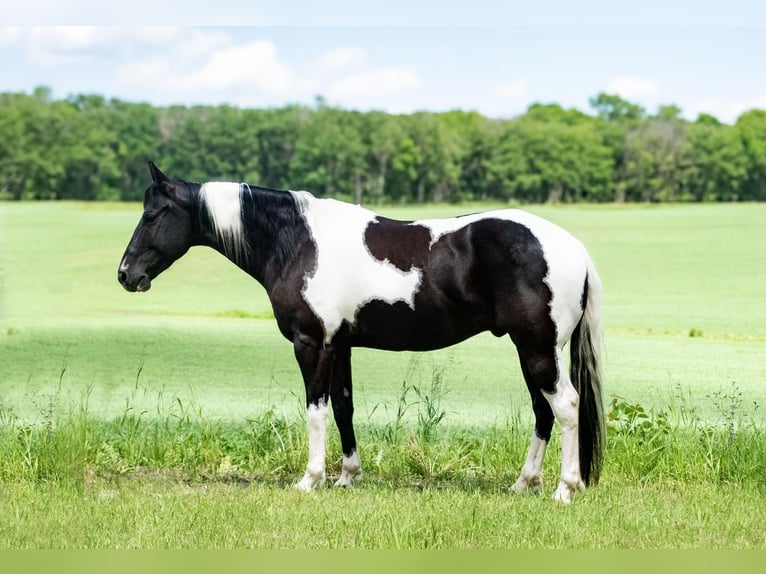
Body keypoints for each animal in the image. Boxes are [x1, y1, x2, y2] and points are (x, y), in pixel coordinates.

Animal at [118, 162, 608, 504]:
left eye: (153, 214)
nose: (126, 275)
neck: (299, 243)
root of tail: (573, 247)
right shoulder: (341, 345)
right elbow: (343, 409)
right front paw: (346, 477)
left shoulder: (312, 344)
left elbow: (316, 411)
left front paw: (310, 479)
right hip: (530, 351)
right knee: (543, 413)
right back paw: (524, 484)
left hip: (539, 349)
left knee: (565, 406)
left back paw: (565, 489)